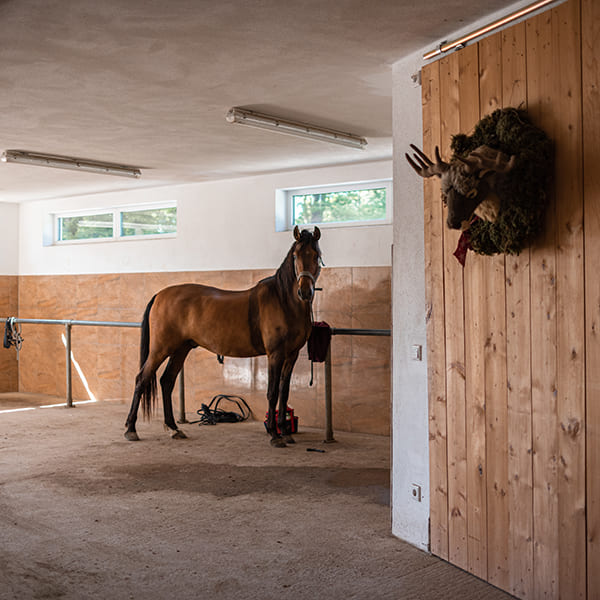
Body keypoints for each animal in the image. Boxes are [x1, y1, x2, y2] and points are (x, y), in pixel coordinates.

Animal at [124, 227, 322, 448]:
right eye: (295, 256)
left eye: (316, 255)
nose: (304, 291)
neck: (283, 301)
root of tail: (160, 294)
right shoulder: (275, 354)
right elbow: (272, 392)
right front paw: (274, 434)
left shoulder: (291, 355)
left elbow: (284, 392)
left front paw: (286, 432)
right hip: (161, 349)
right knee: (142, 379)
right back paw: (131, 429)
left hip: (181, 348)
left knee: (167, 381)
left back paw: (175, 428)